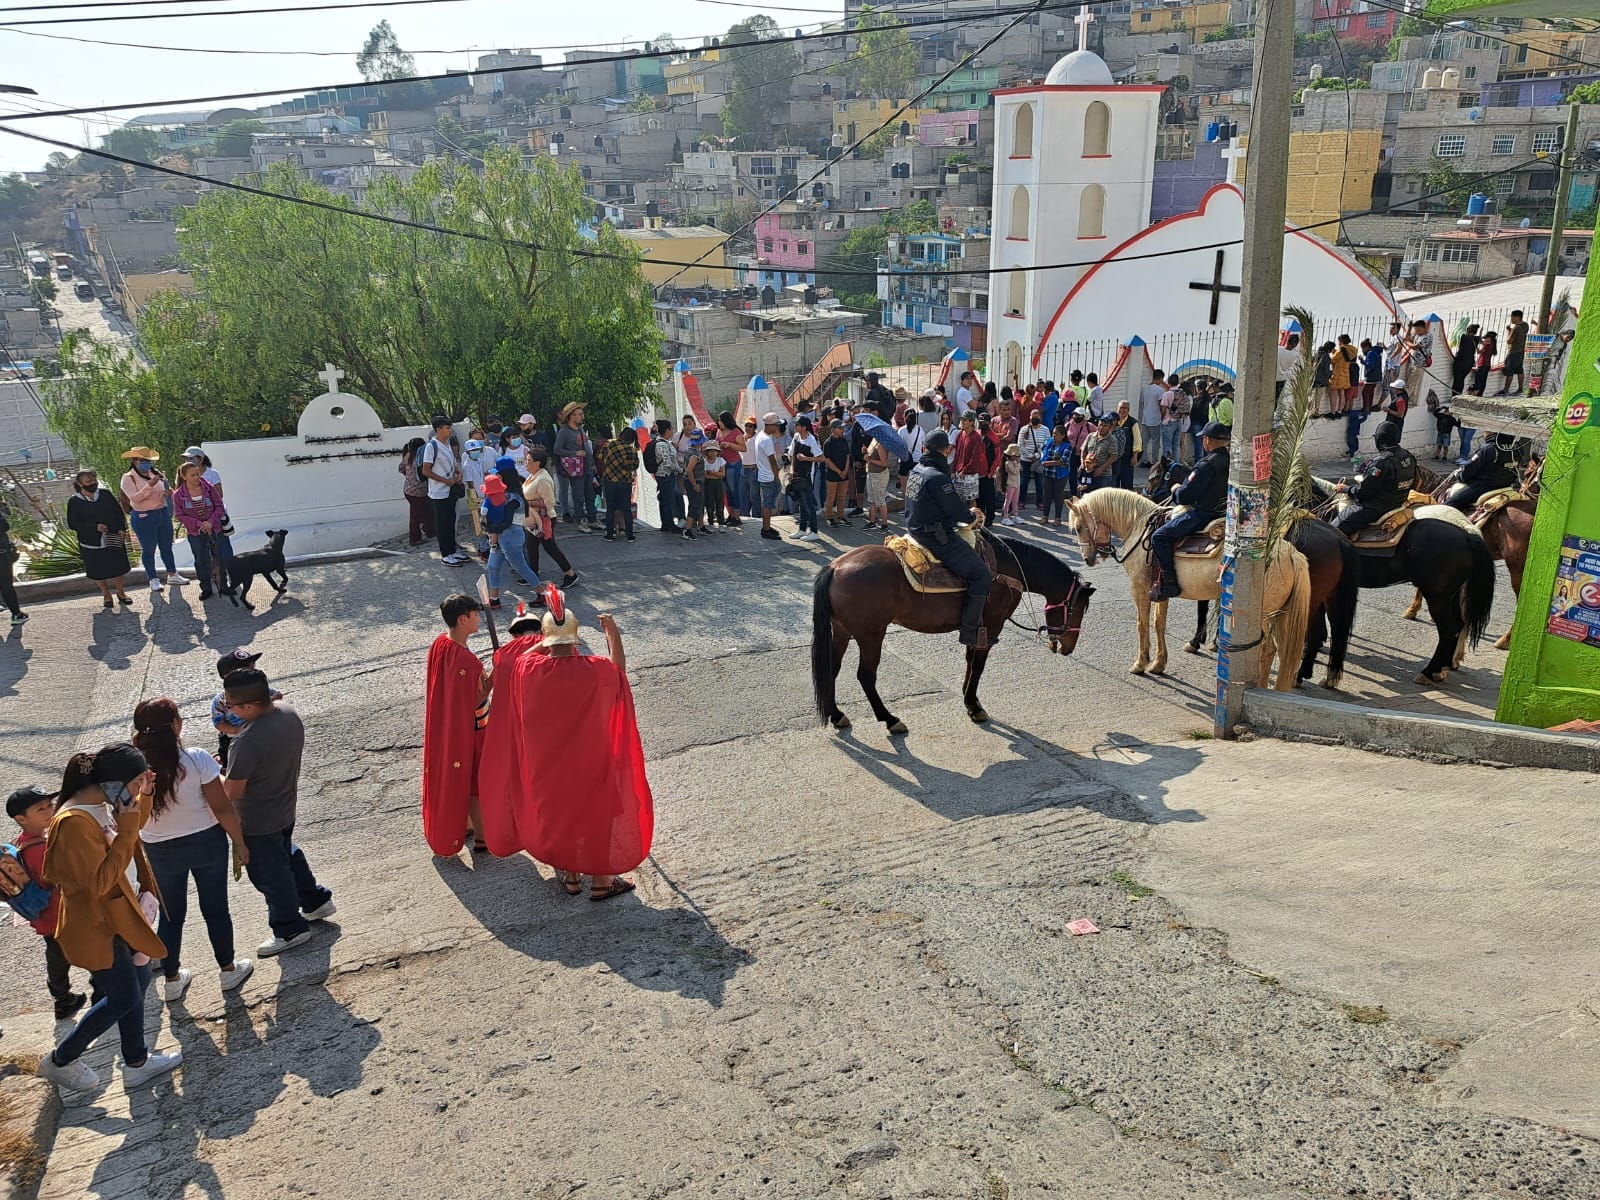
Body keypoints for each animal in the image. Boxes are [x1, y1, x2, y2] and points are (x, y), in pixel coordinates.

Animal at [806, 534, 1094, 732]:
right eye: (1078, 608)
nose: (1068, 647)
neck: (1006, 568)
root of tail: (835, 567)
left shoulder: (975, 627)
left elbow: (970, 661)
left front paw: (968, 698)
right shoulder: (991, 626)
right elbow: (978, 665)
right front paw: (974, 705)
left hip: (842, 630)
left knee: (831, 669)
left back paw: (836, 714)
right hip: (871, 636)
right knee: (866, 676)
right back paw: (890, 719)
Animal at [1075, 489, 1312, 694]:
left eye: (1078, 527)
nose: (1087, 558)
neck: (1139, 528)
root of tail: (1291, 553)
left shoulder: (1139, 588)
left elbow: (1142, 625)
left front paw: (1140, 664)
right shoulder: (1160, 592)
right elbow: (1158, 623)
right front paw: (1158, 664)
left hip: (1262, 615)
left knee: (1268, 649)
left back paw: (1260, 688)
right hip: (1281, 614)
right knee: (1284, 650)